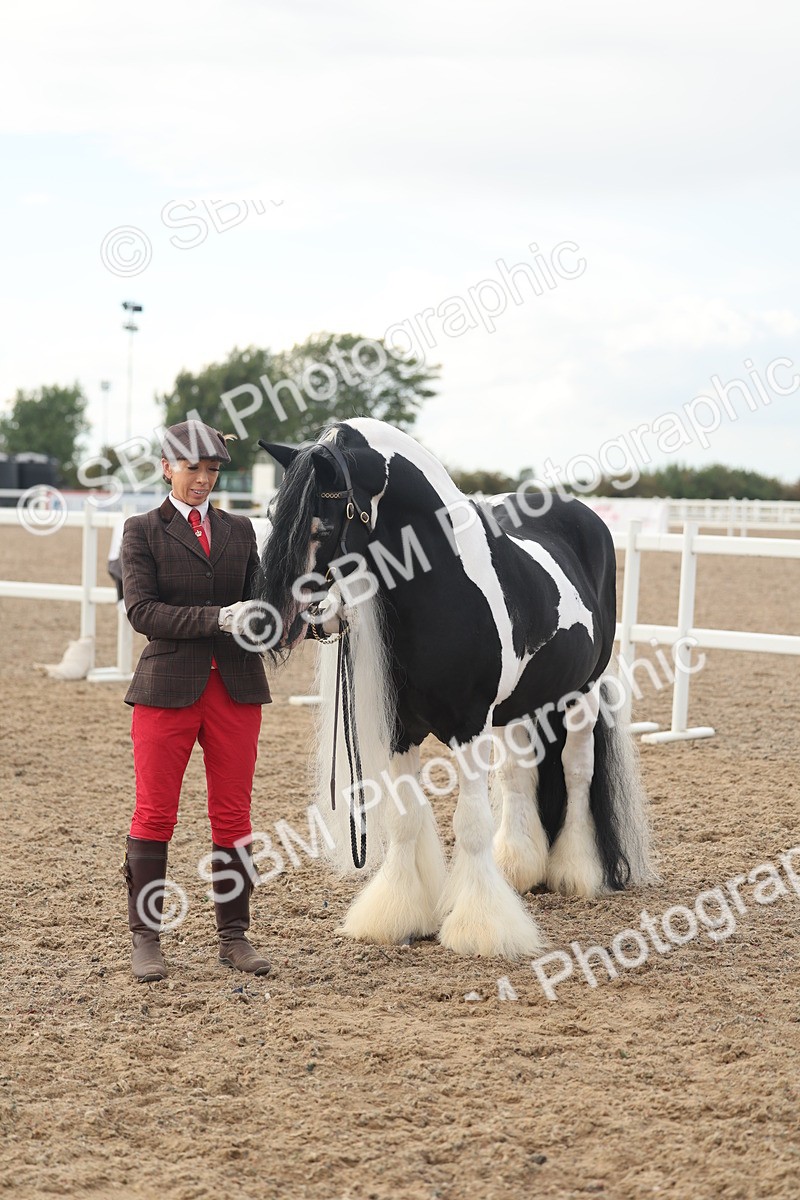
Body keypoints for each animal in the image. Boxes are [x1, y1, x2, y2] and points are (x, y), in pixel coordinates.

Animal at [256, 417, 653, 959]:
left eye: (322, 526)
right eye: (270, 515)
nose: (267, 622)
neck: (442, 589)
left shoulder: (469, 728)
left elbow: (470, 824)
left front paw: (481, 928)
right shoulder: (401, 729)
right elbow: (405, 820)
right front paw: (397, 915)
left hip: (581, 695)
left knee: (576, 772)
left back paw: (575, 873)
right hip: (523, 708)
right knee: (518, 777)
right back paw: (519, 868)